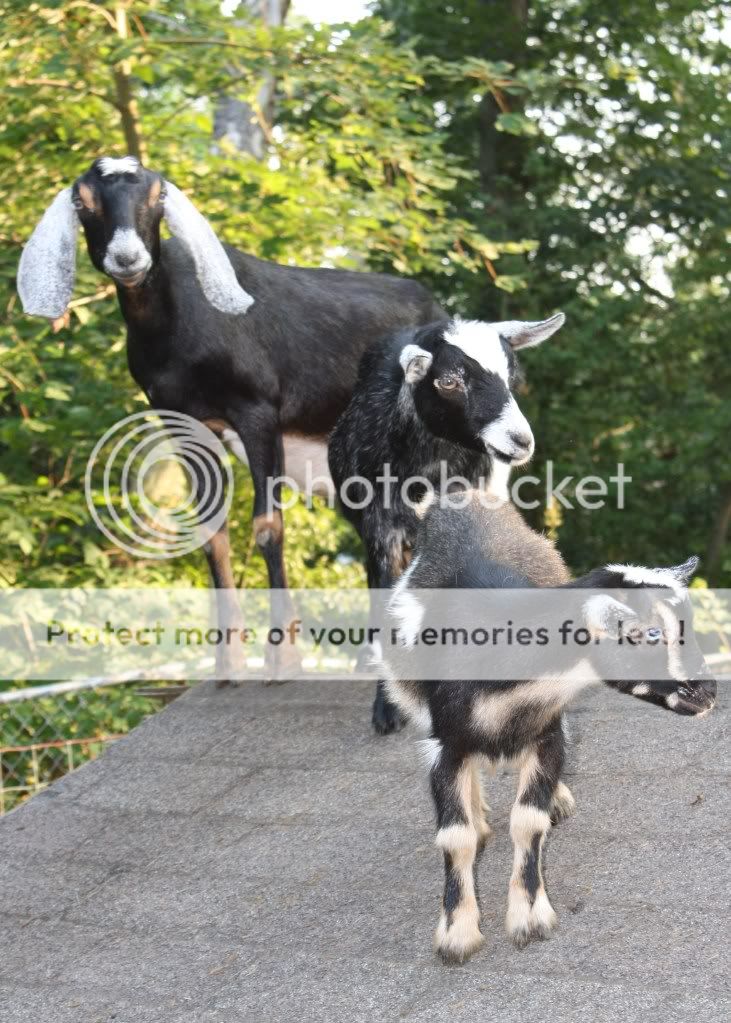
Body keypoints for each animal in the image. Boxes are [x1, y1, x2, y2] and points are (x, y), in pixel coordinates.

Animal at [17, 156, 443, 679]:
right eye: (84, 201)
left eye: (157, 196)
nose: (127, 258)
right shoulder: (184, 422)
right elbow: (209, 534)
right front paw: (228, 663)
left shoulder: (256, 411)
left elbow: (267, 527)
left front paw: (283, 659)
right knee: (380, 536)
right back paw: (373, 659)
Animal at [380, 490, 717, 963]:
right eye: (648, 634)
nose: (708, 693)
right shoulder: (446, 743)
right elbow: (455, 836)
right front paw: (457, 934)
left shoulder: (548, 732)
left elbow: (529, 820)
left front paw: (529, 918)